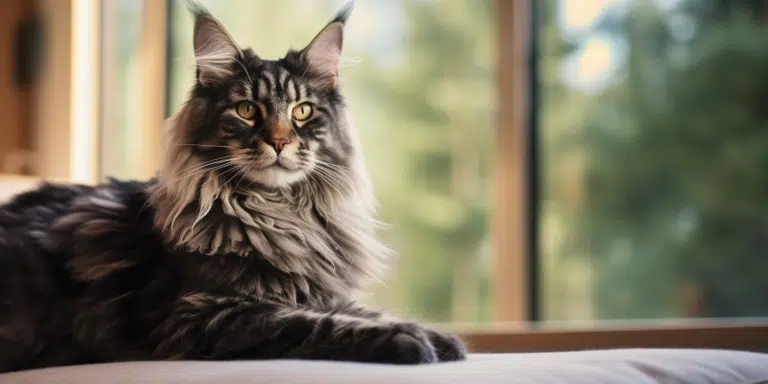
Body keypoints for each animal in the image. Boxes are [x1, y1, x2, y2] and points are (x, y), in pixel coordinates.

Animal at [0, 0, 468, 372]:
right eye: (246, 110)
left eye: (302, 111)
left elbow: (364, 310)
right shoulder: (205, 315)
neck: (280, 214)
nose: (279, 141)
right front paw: (408, 340)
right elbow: (314, 323)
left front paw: (440, 337)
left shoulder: (317, 289)